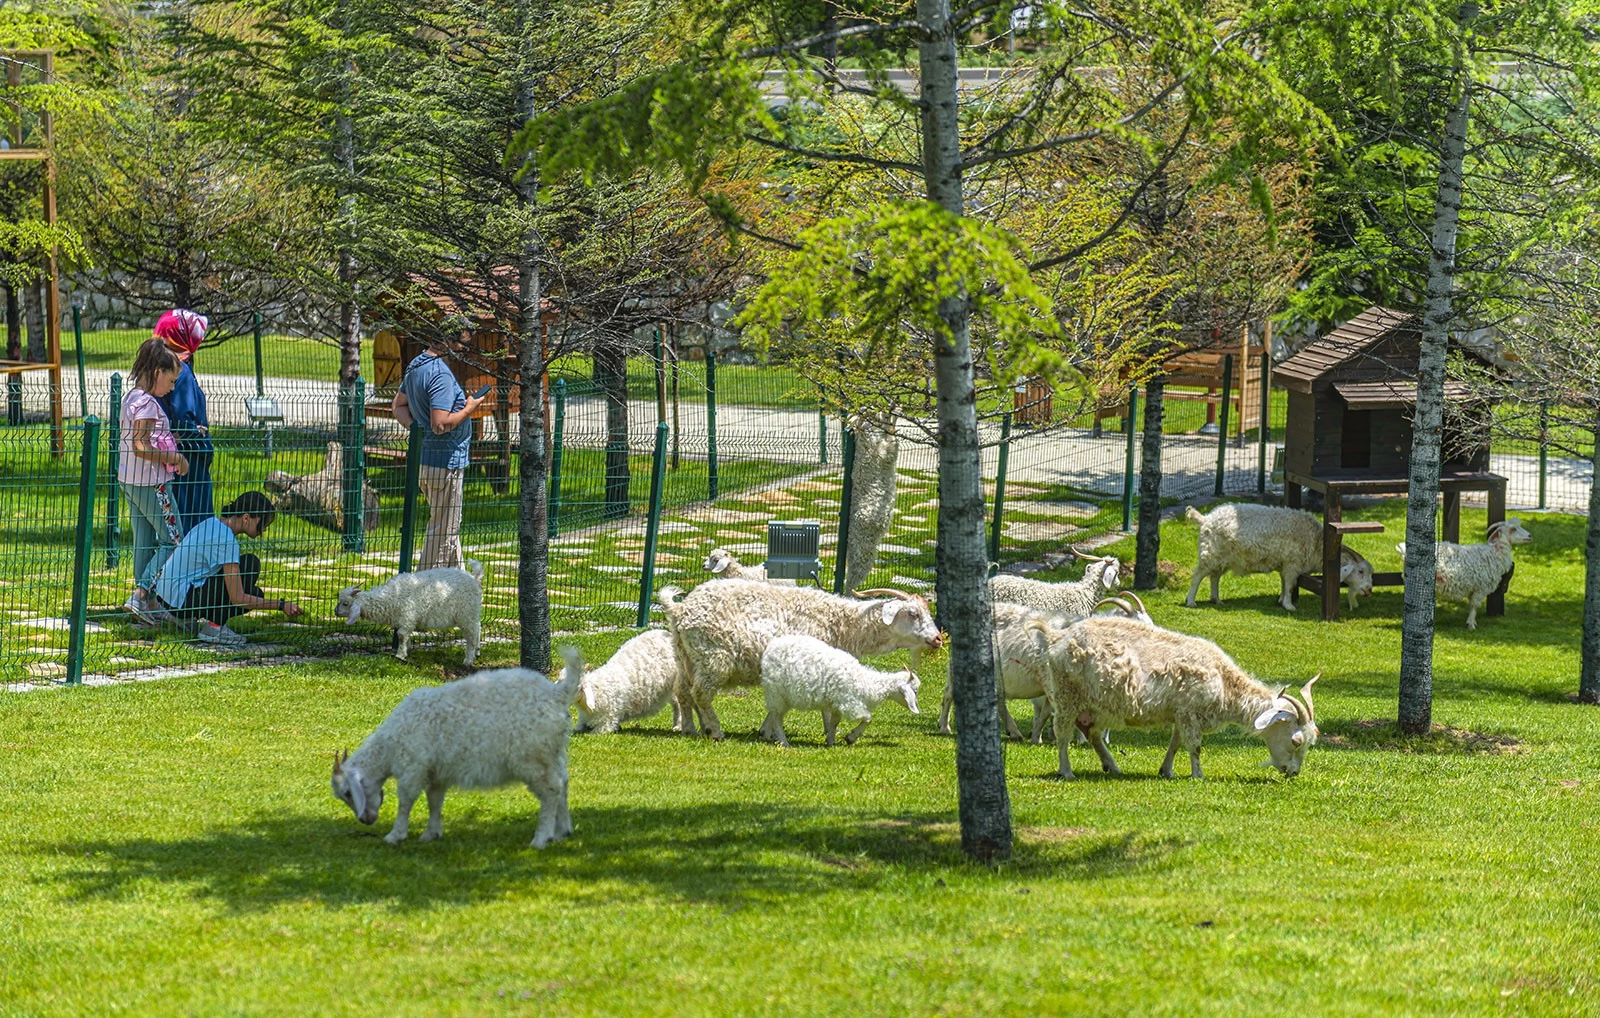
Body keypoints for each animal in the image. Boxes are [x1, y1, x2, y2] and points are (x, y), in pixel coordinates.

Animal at [331, 646, 588, 845]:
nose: (365, 820)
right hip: (554, 753)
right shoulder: (435, 772)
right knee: (563, 783)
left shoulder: (413, 768)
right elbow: (434, 800)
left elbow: (406, 801)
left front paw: (395, 835)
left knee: (551, 789)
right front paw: (431, 834)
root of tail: (557, 694)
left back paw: (541, 838)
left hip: (533, 757)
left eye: (348, 792)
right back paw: (562, 831)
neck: (389, 744)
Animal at [334, 560, 483, 662]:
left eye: (346, 603)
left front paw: (400, 655)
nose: (335, 612)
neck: (392, 597)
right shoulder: (405, 620)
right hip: (472, 613)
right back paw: (477, 652)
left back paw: (468, 660)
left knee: (471, 635)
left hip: (466, 613)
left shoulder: (408, 616)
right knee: (478, 627)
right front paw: (407, 650)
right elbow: (406, 636)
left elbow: (401, 635)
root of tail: (474, 579)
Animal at [761, 637, 928, 749]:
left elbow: (834, 722)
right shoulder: (851, 704)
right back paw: (784, 742)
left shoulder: (837, 704)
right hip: (777, 692)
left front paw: (831, 741)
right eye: (915, 691)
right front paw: (851, 737)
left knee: (775, 714)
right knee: (777, 717)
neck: (866, 682)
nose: (917, 706)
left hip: (784, 696)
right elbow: (868, 718)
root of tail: (770, 648)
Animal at [1043, 617, 1318, 784]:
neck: (1225, 681)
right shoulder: (1188, 711)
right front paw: (1198, 775)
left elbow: (1175, 743)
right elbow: (1194, 746)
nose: (1294, 773)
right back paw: (1066, 771)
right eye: (1296, 741)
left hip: (1094, 705)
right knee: (1062, 734)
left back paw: (1112, 766)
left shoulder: (1182, 714)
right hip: (1067, 695)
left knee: (1092, 733)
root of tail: (1058, 637)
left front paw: (1167, 771)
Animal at [1401, 515, 1536, 627]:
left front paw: (1470, 622)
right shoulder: (1480, 587)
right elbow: (1474, 606)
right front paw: (1471, 624)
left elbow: (1472, 605)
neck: (1494, 552)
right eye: (1513, 529)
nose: (1530, 536)